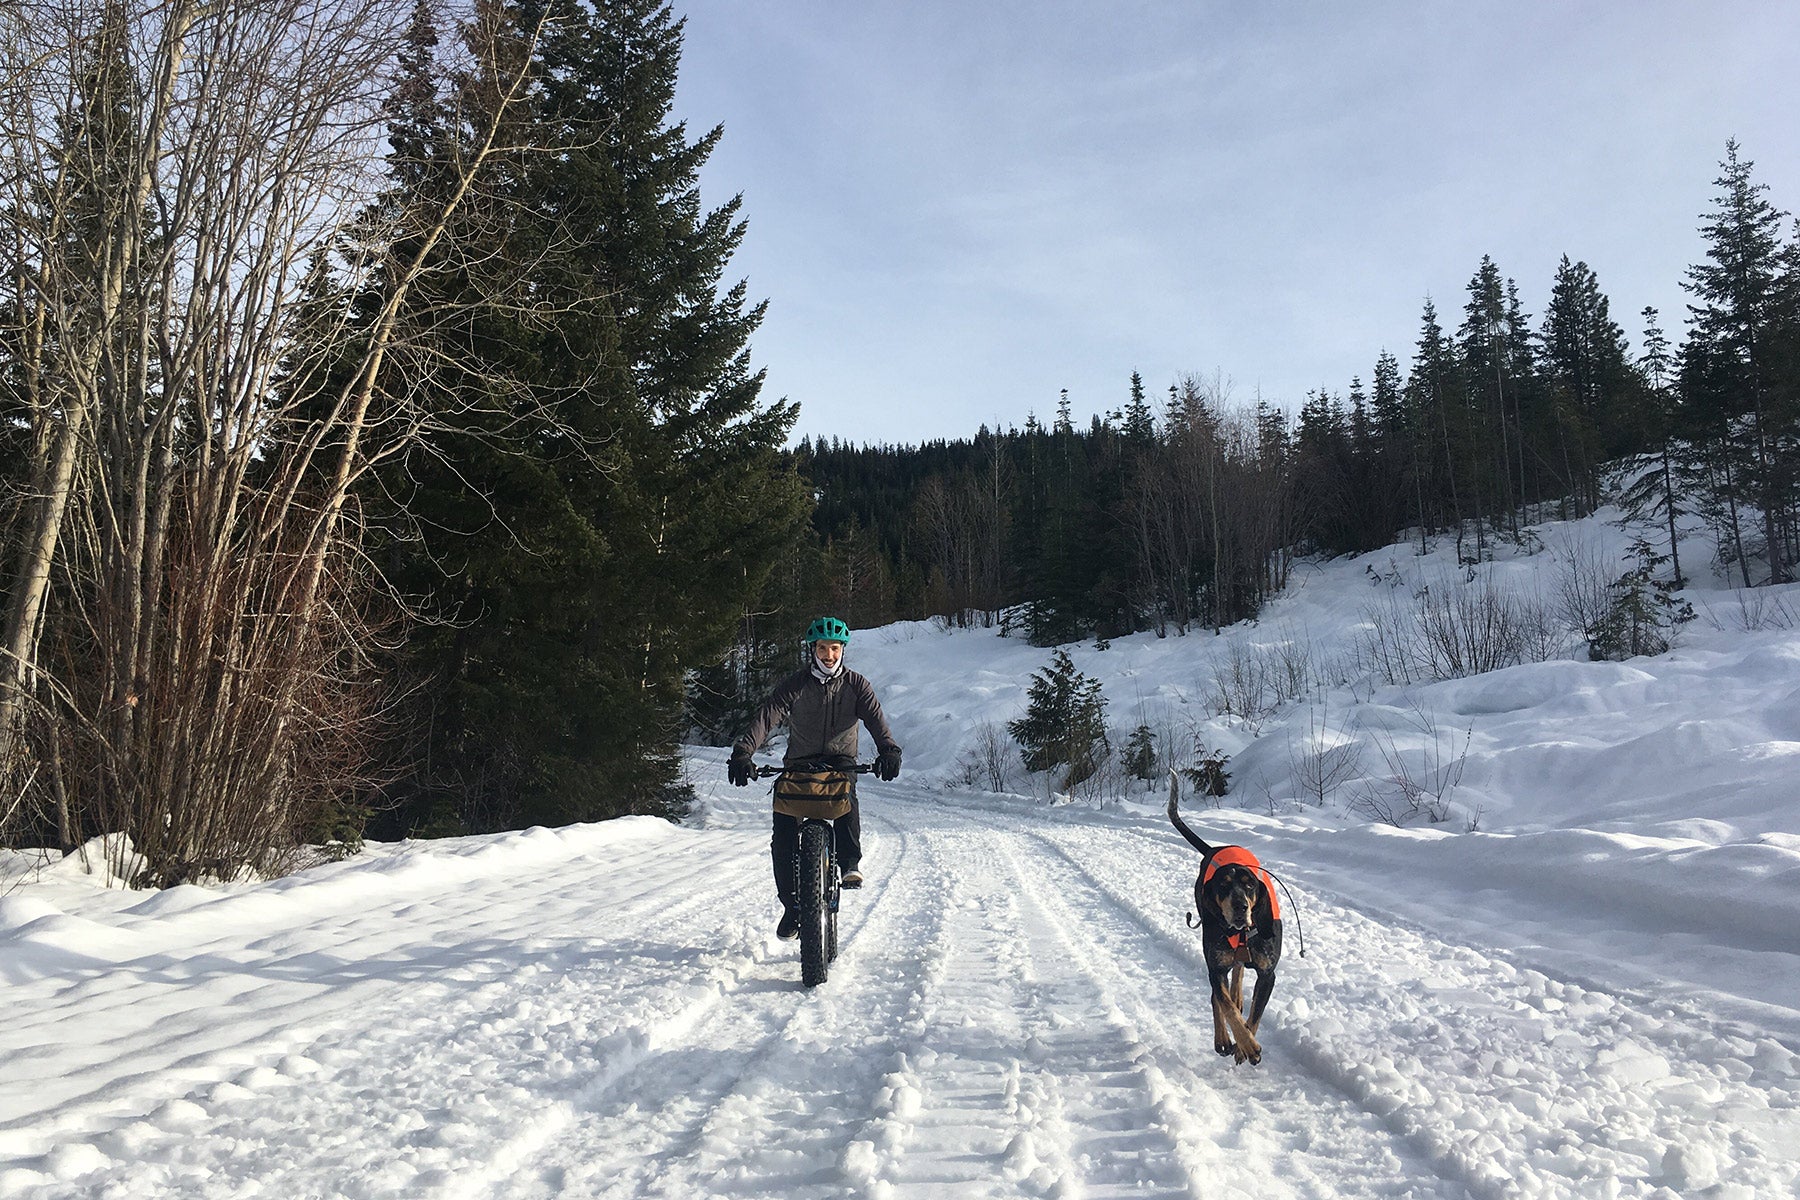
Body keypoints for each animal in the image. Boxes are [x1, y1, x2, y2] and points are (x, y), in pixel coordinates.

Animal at [1166, 773, 1281, 1065]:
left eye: (1250, 885)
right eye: (1223, 886)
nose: (1240, 906)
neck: (1240, 933)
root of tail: (1213, 849)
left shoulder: (1268, 974)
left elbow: (1254, 1015)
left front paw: (1244, 1045)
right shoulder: (1216, 968)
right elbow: (1225, 1005)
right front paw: (1244, 1043)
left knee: (1237, 974)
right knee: (1218, 996)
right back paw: (1222, 1038)